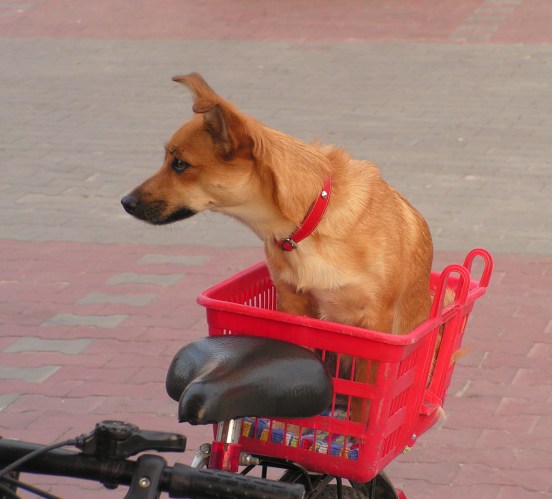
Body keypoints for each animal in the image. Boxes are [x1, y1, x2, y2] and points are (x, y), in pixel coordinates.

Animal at [122, 73, 436, 426]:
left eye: (180, 164)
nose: (125, 202)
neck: (309, 223)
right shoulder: (293, 308)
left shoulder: (375, 324)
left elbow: (365, 402)